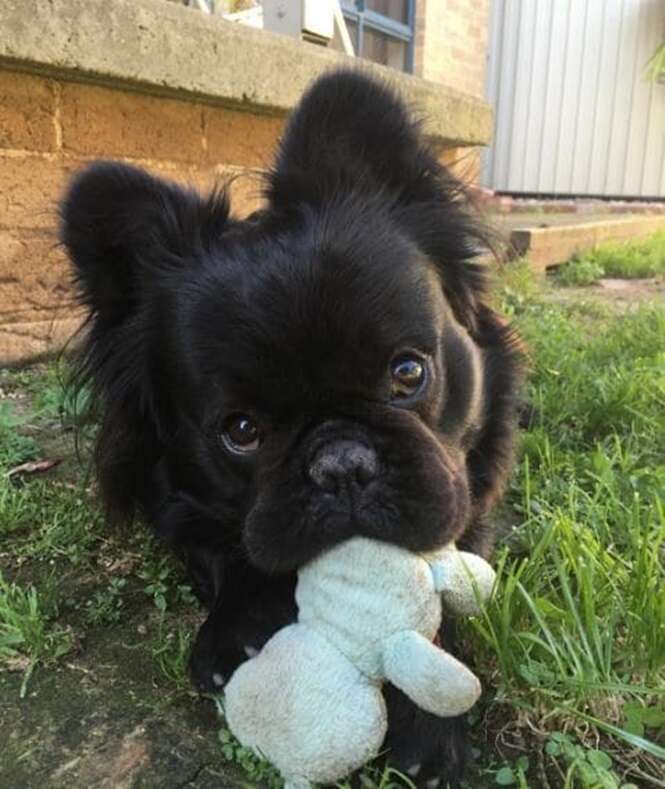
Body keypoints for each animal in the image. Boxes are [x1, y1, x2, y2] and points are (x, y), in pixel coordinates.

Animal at [59, 71, 520, 784]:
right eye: (241, 430)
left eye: (408, 373)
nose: (341, 464)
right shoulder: (175, 501)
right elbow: (226, 546)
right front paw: (241, 625)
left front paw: (431, 724)